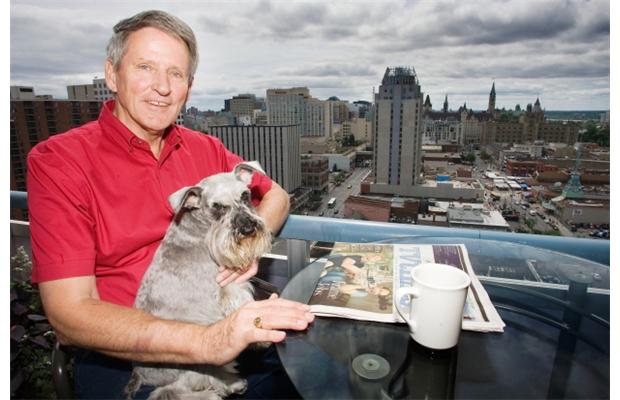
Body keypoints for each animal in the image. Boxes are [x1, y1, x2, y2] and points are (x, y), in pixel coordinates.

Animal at [124, 162, 272, 400]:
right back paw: (226, 387)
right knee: (170, 392)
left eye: (245, 195)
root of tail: (137, 372)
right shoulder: (229, 289)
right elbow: (245, 307)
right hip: (191, 364)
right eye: (217, 207)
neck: (201, 229)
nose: (248, 228)